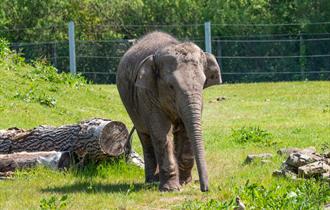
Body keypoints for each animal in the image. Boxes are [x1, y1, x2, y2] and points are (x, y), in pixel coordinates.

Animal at [116, 31, 222, 192]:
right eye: (171, 86)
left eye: (203, 82)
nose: (205, 189)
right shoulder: (147, 93)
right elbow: (161, 132)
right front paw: (170, 189)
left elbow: (186, 130)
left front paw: (184, 182)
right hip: (131, 106)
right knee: (146, 137)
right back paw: (152, 181)